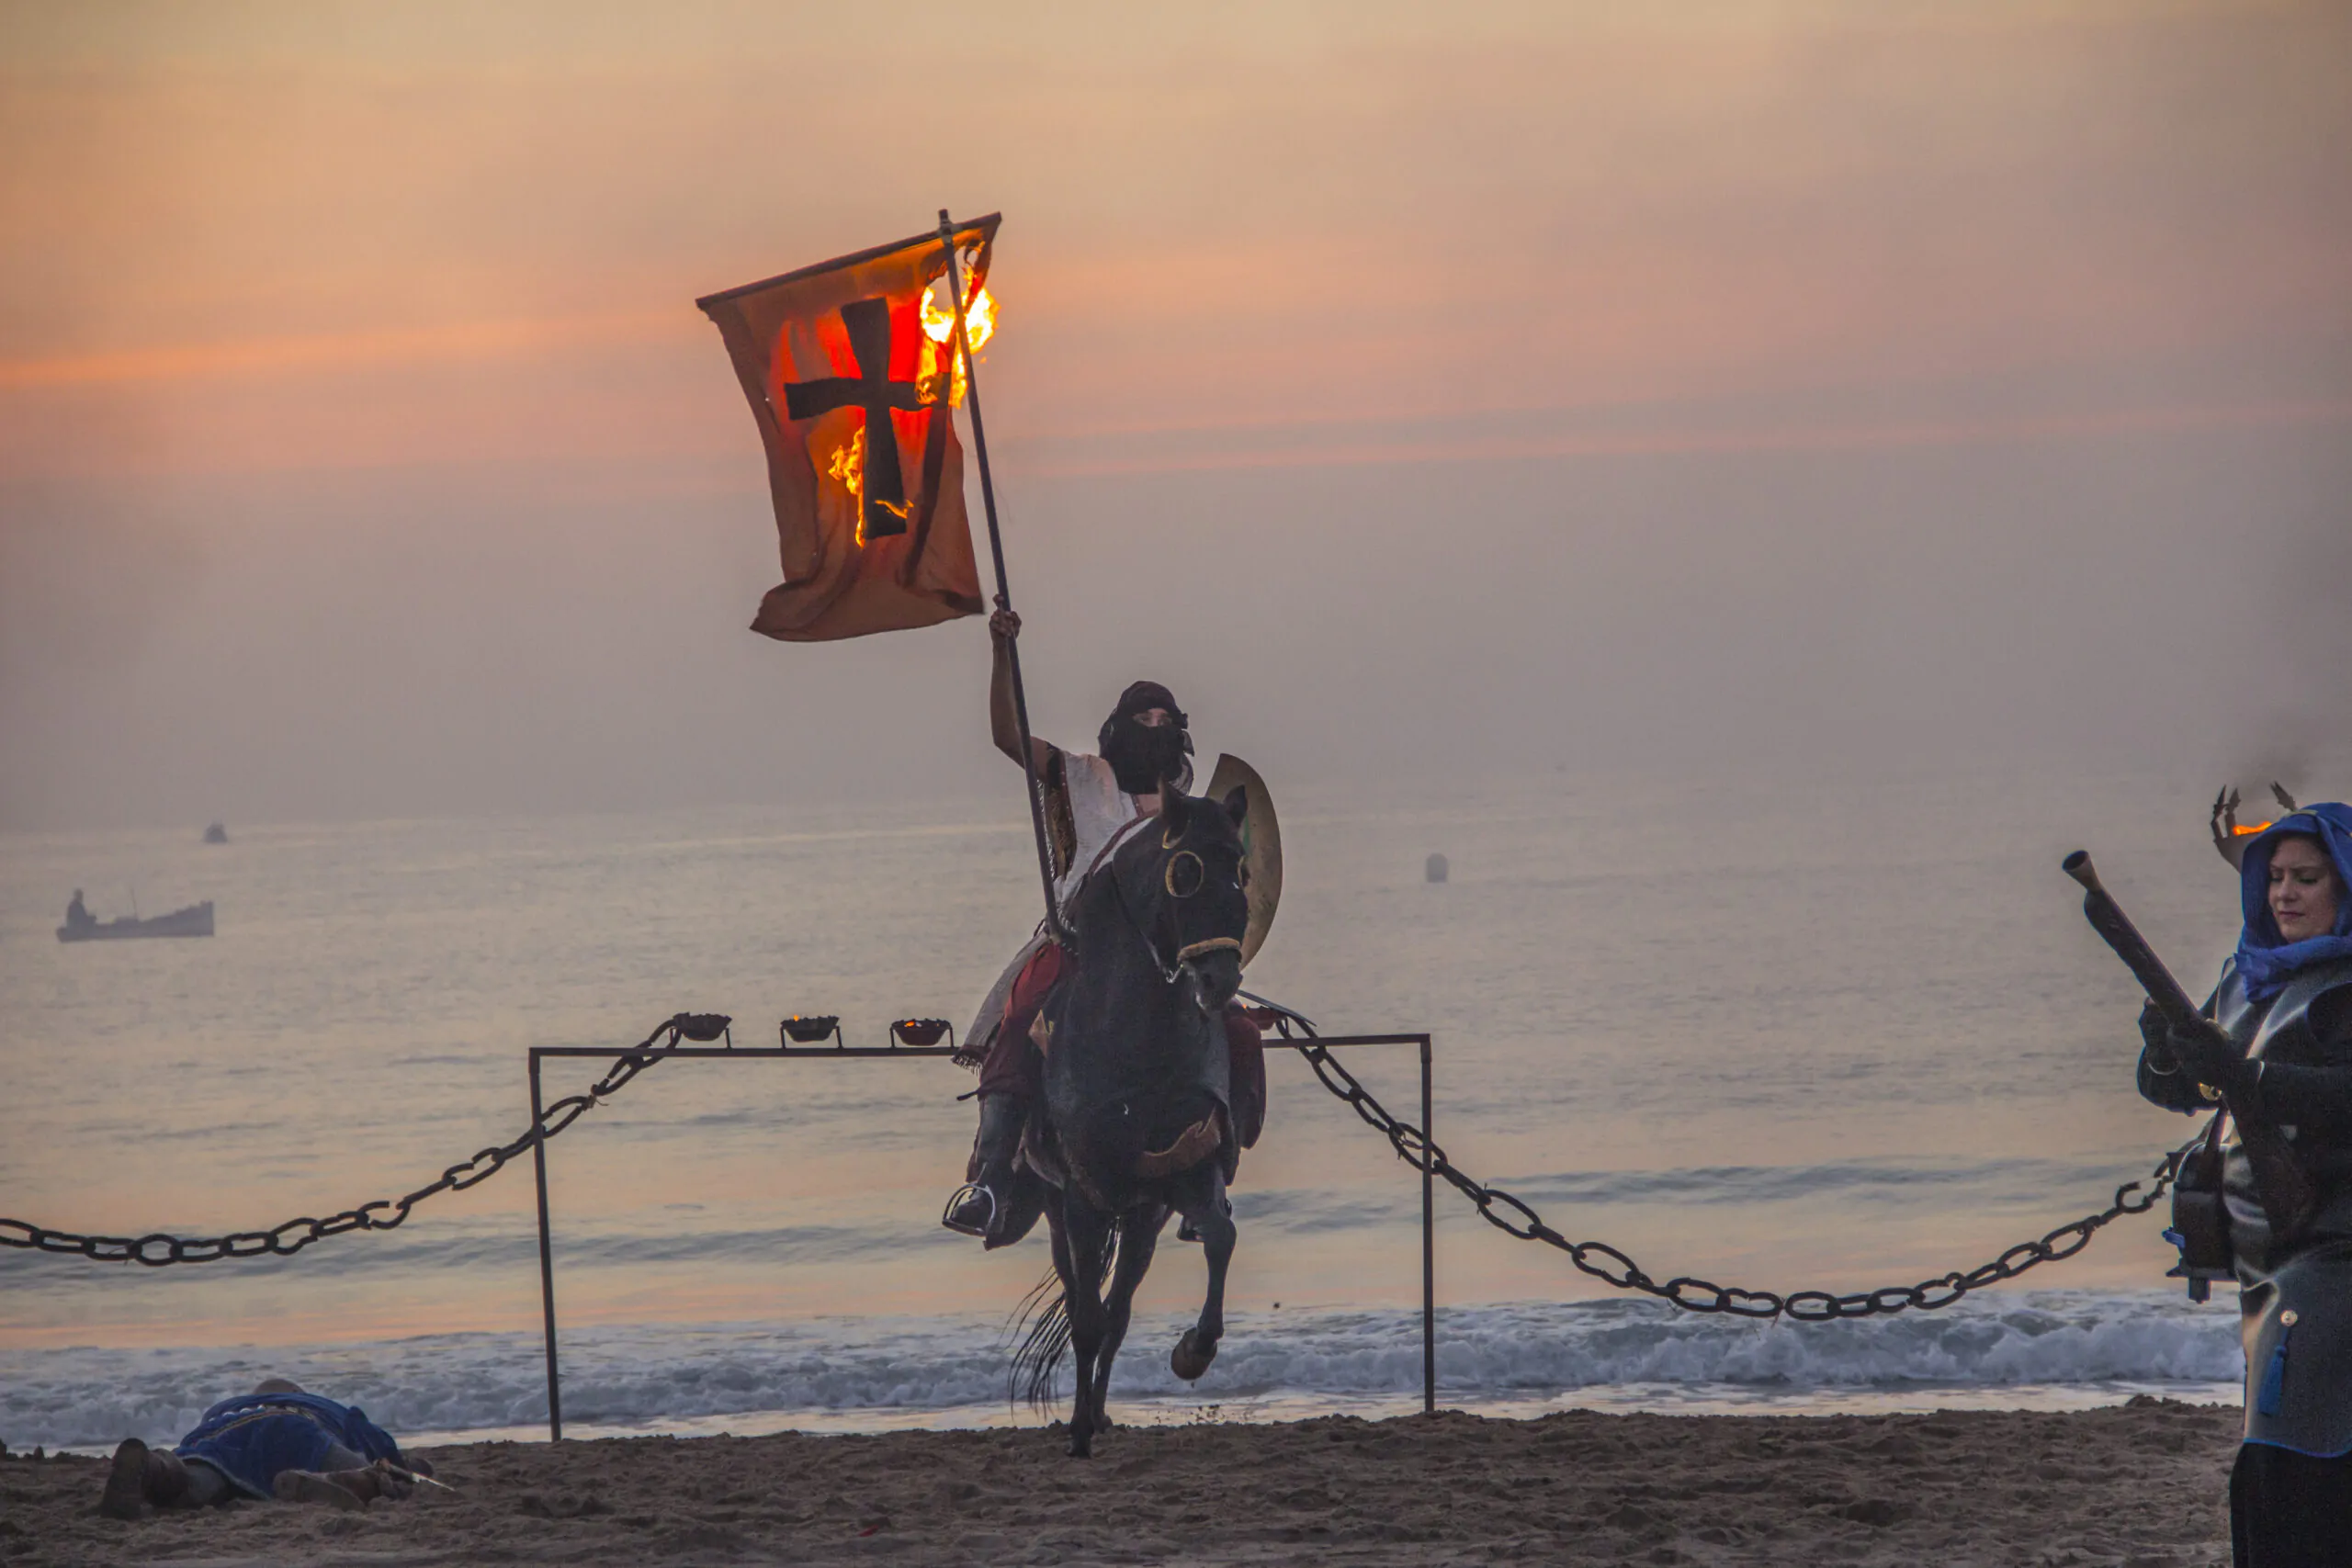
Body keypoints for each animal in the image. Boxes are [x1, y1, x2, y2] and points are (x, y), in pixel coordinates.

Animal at [1015, 784, 1261, 1457]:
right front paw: (1076, 1433)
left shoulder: (1187, 1173)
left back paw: (1100, 1411)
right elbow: (1085, 1318)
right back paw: (1084, 1417)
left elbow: (1222, 1237)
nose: (1219, 979)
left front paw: (1193, 1350)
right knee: (1085, 1301)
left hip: (1143, 1219)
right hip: (1061, 1207)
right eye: (1186, 870)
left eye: (1242, 870)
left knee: (1119, 1308)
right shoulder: (1081, 1195)